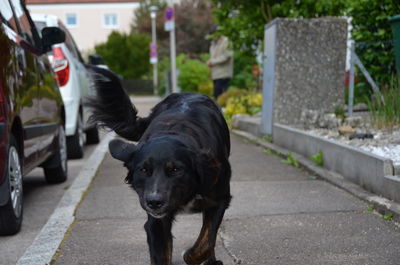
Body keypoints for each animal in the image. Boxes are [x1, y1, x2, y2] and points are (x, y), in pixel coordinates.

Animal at [87, 66, 231, 264]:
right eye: (144, 170)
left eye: (176, 170)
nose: (154, 202)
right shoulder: (156, 222)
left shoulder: (219, 199)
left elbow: (206, 242)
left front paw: (191, 256)